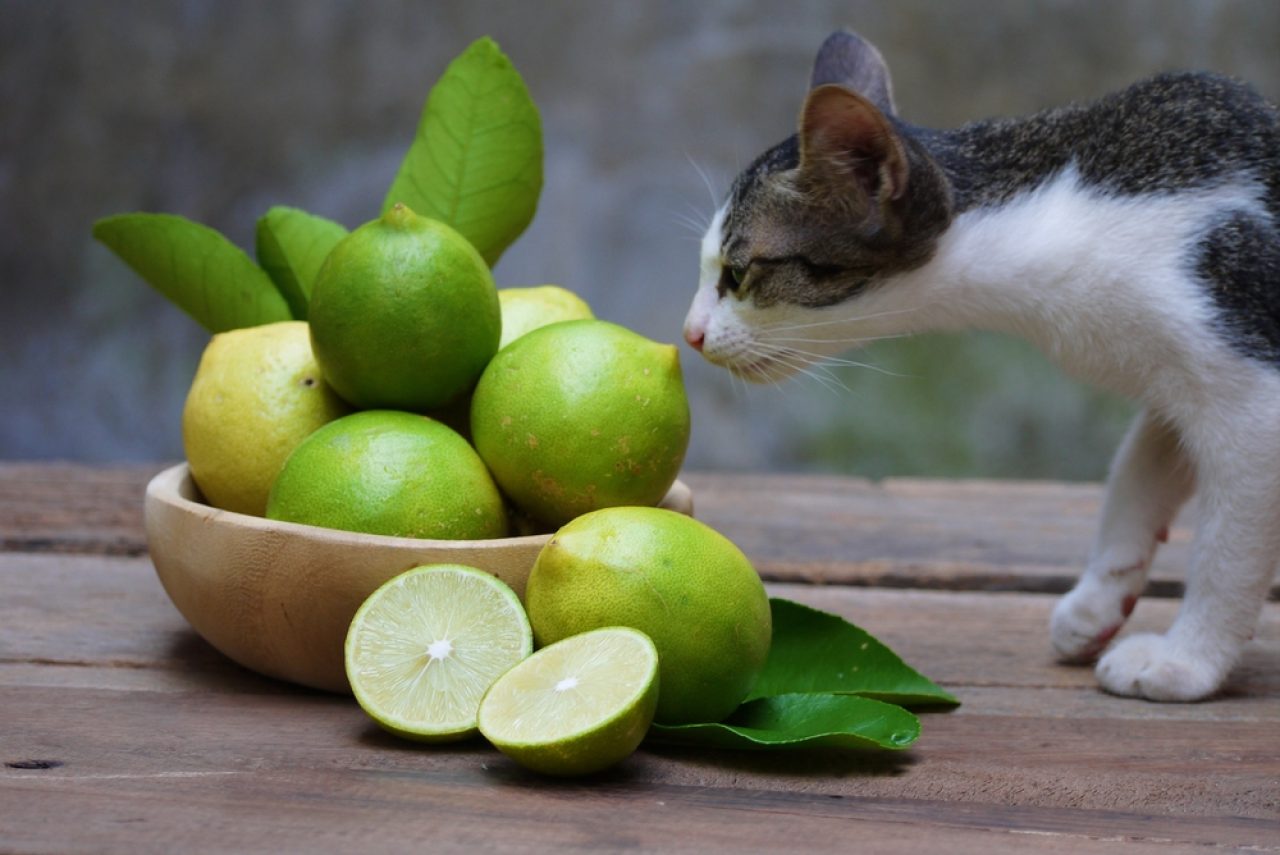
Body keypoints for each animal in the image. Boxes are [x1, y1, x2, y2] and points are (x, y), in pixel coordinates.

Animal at [686, 31, 1280, 701]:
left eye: (739, 274)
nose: (690, 333)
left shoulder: (1251, 398)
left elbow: (1227, 548)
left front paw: (1187, 660)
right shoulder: (1173, 376)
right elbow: (1136, 472)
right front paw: (1099, 601)